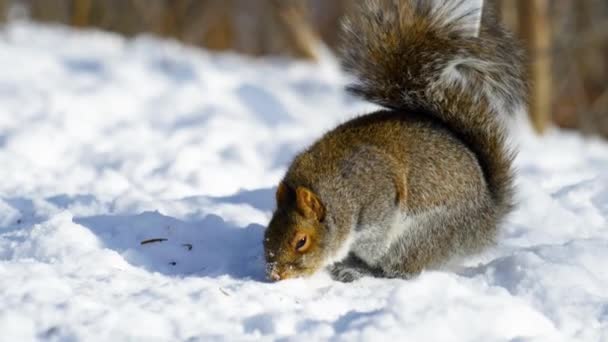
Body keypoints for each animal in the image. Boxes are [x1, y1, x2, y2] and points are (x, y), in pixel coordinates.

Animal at [264, 0, 524, 282]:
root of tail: (487, 215)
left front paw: (355, 260)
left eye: (301, 241)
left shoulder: (379, 198)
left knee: (401, 268)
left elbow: (376, 237)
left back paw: (362, 269)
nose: (274, 274)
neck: (335, 194)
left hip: (421, 236)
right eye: (267, 233)